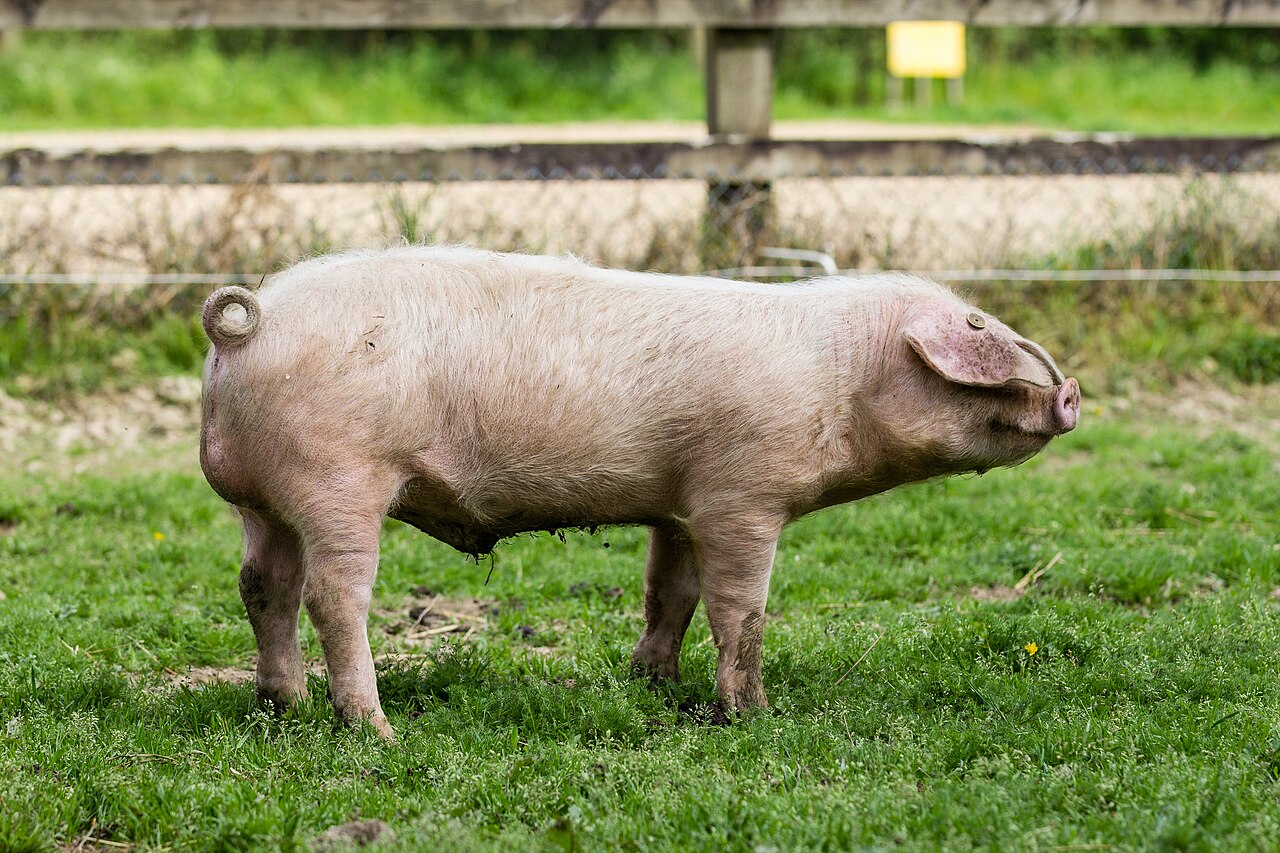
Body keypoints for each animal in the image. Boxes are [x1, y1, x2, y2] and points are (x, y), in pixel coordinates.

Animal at [200, 246, 1080, 738]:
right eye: (979, 329)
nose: (1071, 392)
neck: (844, 373)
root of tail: (248, 322)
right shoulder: (743, 492)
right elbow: (742, 608)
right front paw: (751, 714)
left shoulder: (680, 504)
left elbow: (670, 592)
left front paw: (651, 682)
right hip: (339, 477)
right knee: (332, 596)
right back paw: (375, 729)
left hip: (259, 501)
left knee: (263, 586)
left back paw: (284, 706)